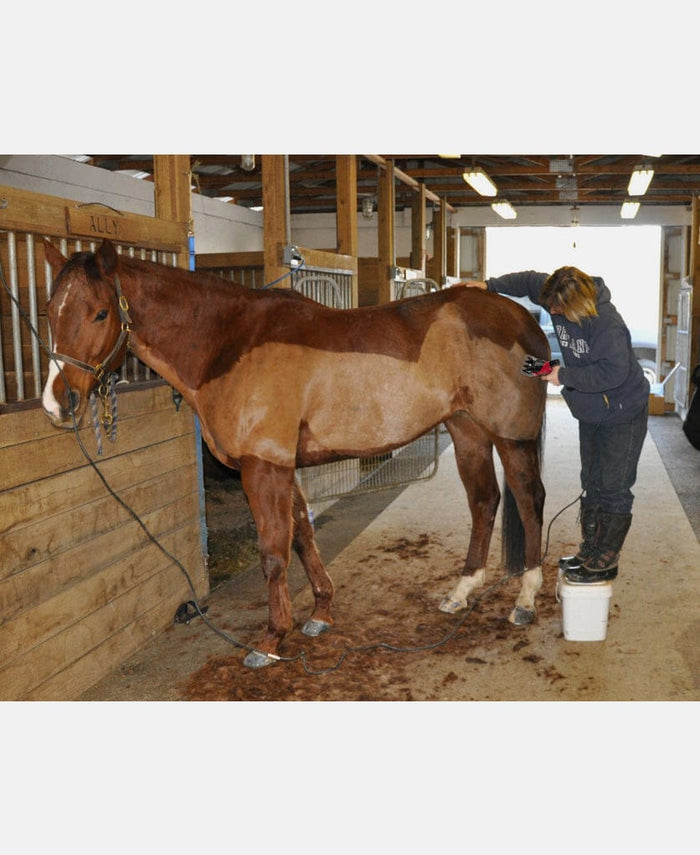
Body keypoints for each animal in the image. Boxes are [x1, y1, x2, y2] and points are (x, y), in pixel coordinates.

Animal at [41, 238, 549, 668]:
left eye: (100, 314)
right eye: (49, 311)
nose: (57, 403)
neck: (229, 343)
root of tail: (525, 321)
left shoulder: (263, 466)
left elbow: (273, 551)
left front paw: (271, 638)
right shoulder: (284, 466)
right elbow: (303, 534)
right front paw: (321, 612)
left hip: (512, 437)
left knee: (529, 501)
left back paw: (525, 600)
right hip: (467, 431)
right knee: (484, 501)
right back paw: (461, 591)